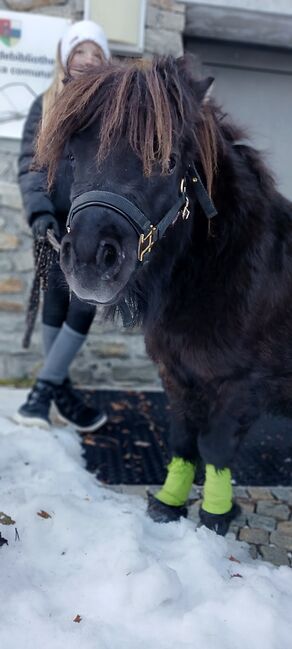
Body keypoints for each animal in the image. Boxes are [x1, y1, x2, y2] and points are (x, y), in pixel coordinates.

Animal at [37, 54, 292, 532]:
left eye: (169, 161)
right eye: (74, 155)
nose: (88, 259)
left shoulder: (238, 384)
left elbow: (213, 448)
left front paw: (215, 517)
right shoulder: (176, 375)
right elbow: (182, 440)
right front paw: (168, 504)